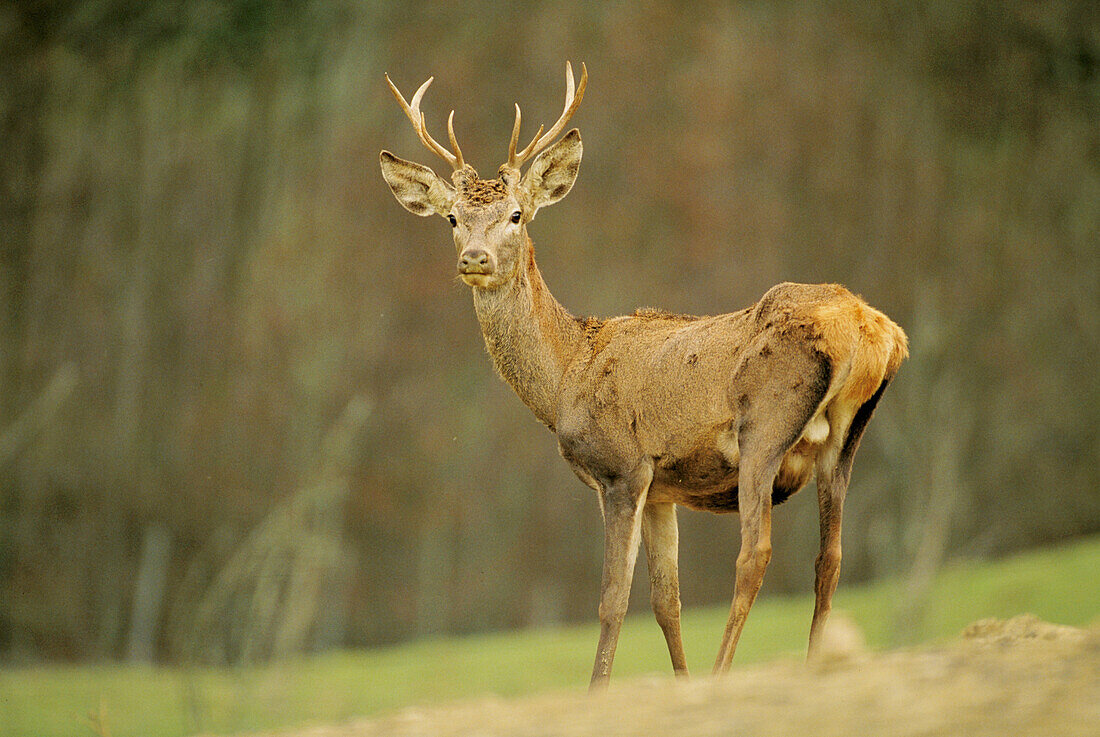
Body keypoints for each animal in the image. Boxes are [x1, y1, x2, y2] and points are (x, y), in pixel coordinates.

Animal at [380, 63, 910, 695]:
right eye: (454, 218)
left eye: (515, 215)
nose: (475, 259)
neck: (566, 376)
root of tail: (870, 328)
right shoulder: (663, 490)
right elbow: (666, 602)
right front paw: (678, 681)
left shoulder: (622, 469)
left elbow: (613, 600)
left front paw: (598, 690)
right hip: (845, 442)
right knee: (829, 557)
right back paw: (810, 667)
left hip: (765, 425)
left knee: (754, 552)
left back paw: (725, 671)